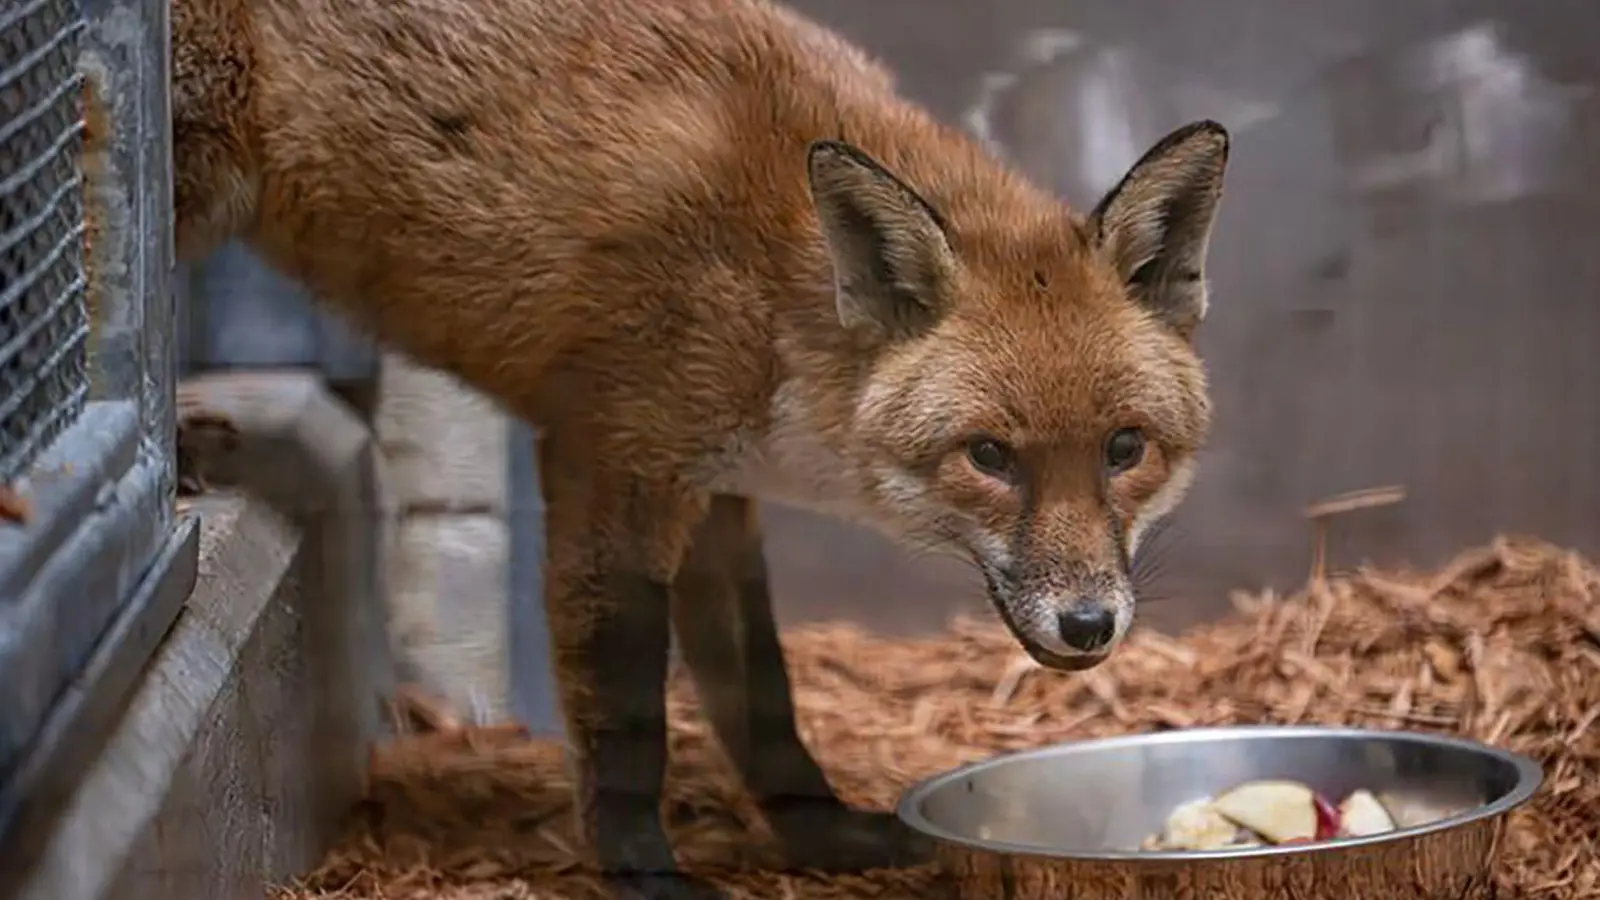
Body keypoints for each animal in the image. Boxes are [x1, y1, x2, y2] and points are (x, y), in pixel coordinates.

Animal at [164, 0, 1229, 895]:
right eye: (990, 457)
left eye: (1124, 448)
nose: (1090, 625)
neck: (774, 292)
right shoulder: (612, 464)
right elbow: (629, 714)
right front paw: (644, 873)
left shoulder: (719, 494)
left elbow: (763, 697)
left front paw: (821, 834)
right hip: (189, 179)